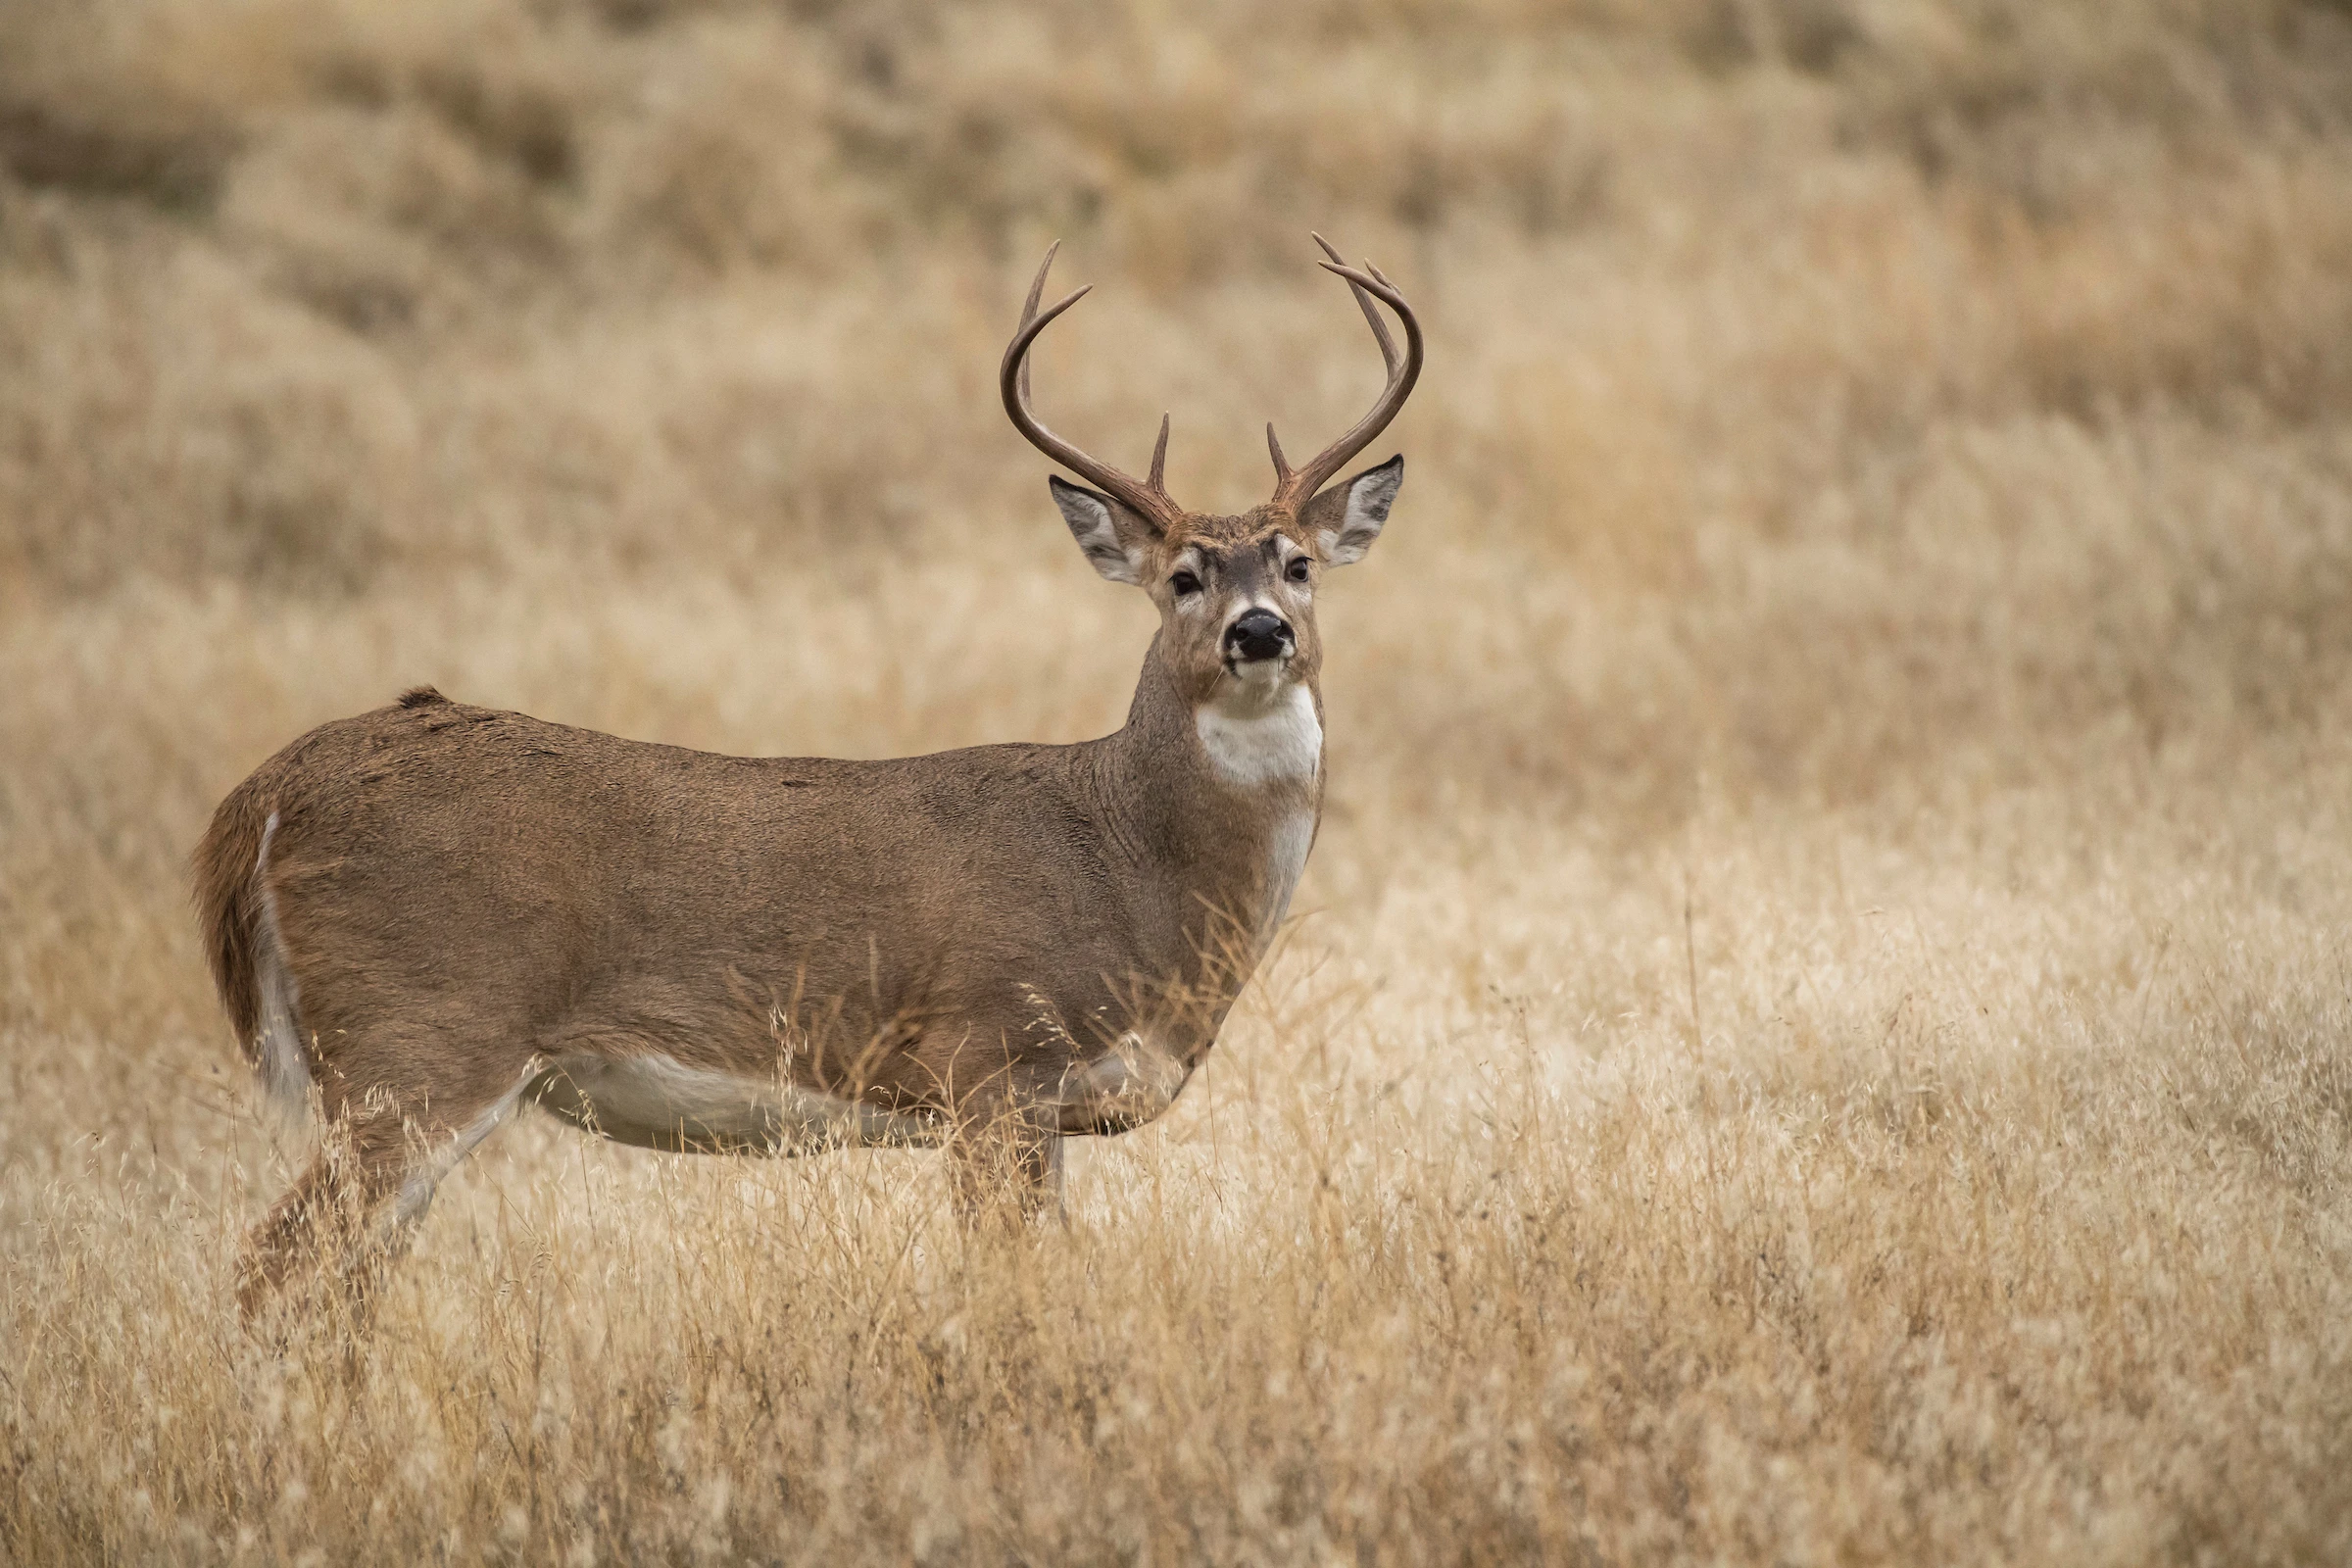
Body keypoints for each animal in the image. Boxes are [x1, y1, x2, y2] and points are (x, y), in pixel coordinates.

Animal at [197, 232, 1411, 1316]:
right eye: (1182, 577)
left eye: (1299, 564)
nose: (1260, 631)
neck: (1130, 863)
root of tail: (263, 797)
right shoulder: (987, 1058)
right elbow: (1006, 1280)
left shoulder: (1040, 1108)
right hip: (420, 1041)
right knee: (266, 1270)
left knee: (347, 1288)